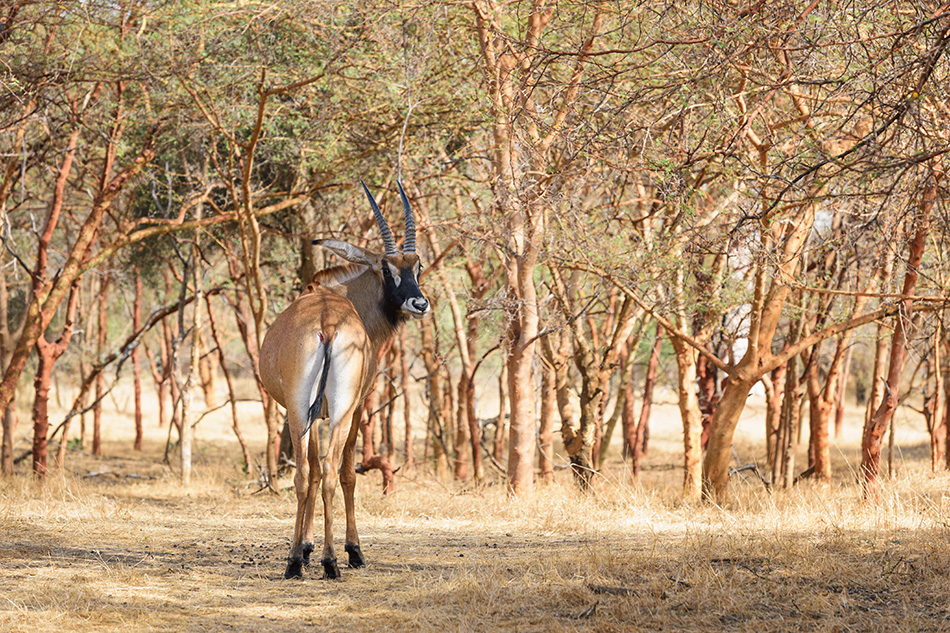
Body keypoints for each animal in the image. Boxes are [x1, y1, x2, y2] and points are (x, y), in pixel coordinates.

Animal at [256, 179, 428, 576]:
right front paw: (352, 550)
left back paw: (302, 562)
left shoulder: (315, 413)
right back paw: (330, 559)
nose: (419, 303)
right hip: (338, 409)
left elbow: (317, 471)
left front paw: (305, 548)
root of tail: (328, 321)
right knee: (335, 472)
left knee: (309, 473)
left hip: (301, 409)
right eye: (387, 268)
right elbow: (348, 472)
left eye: (418, 265)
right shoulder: (356, 404)